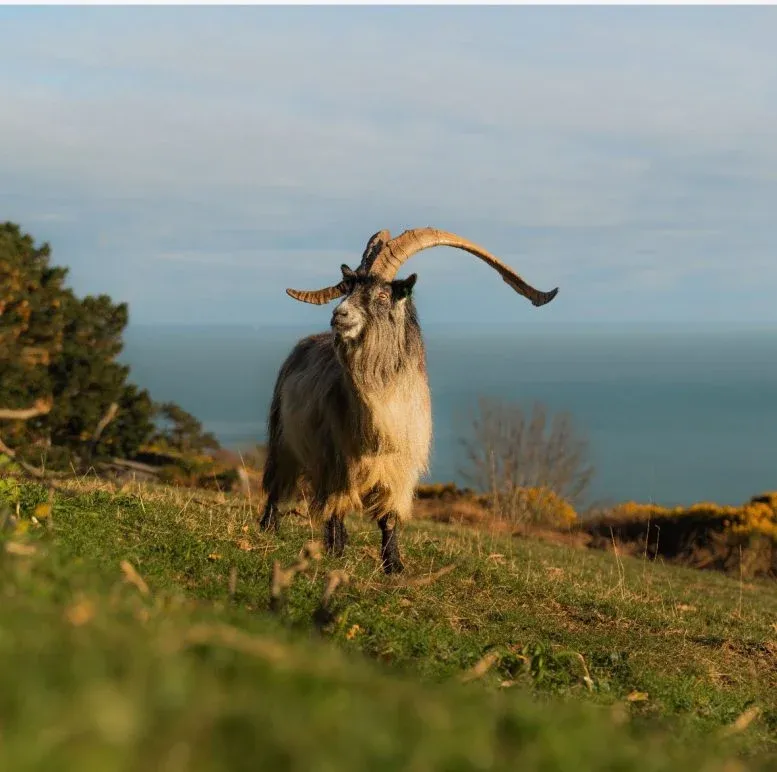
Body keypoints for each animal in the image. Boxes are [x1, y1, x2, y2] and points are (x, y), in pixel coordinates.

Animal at [258, 227, 559, 573]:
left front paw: (394, 565)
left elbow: (389, 518)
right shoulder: (336, 460)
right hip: (283, 439)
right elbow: (336, 507)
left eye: (382, 295)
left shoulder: (400, 468)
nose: (339, 315)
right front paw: (337, 552)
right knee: (278, 486)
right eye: (348, 290)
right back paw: (270, 528)